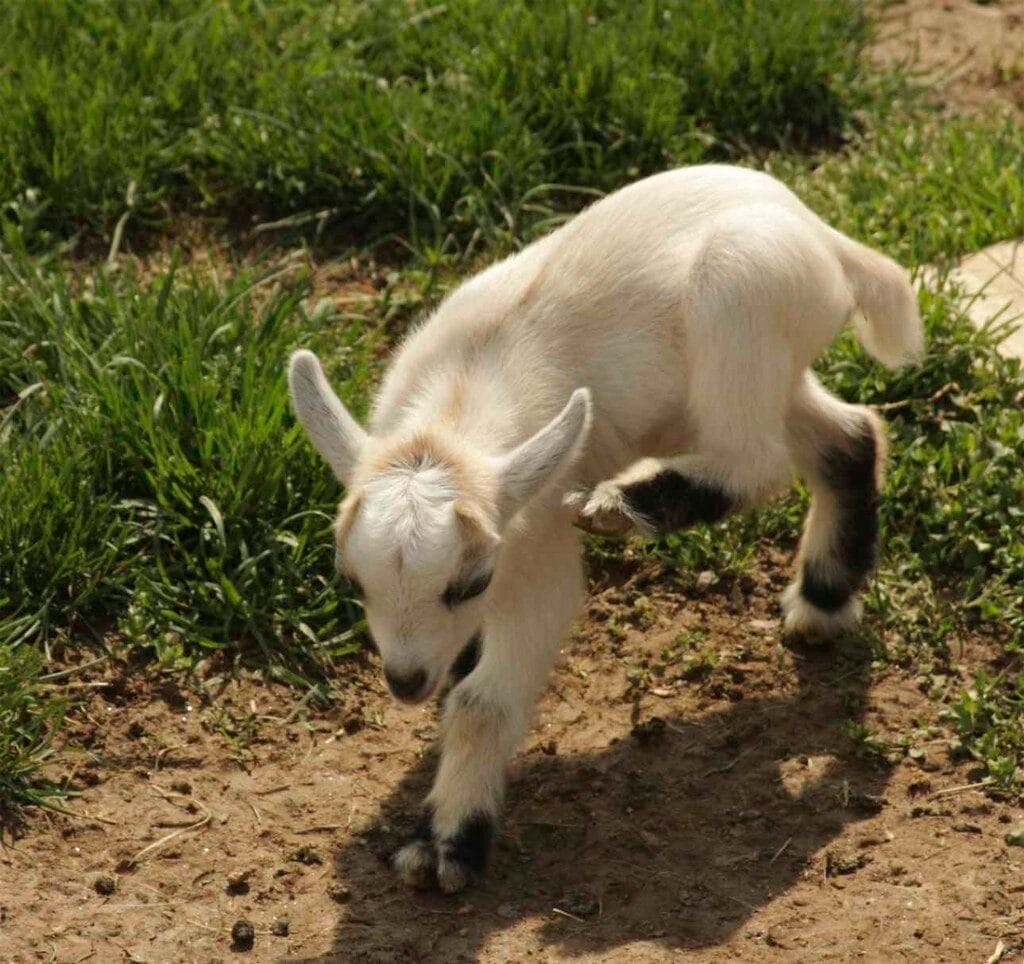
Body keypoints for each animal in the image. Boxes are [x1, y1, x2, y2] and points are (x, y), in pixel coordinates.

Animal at [288, 164, 923, 893]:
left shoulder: (537, 555)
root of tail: (826, 238)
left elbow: (480, 703)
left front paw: (446, 845)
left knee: (757, 459)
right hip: (766, 370)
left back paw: (625, 504)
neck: (460, 398)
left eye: (468, 584)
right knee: (848, 436)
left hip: (740, 302)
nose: (405, 681)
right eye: (353, 583)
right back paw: (822, 600)